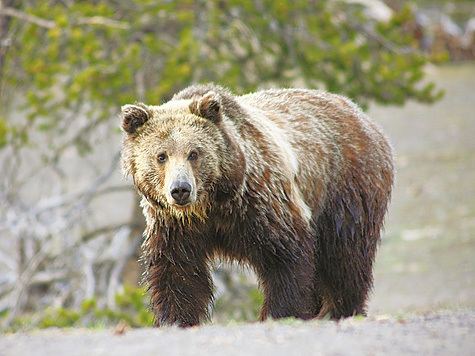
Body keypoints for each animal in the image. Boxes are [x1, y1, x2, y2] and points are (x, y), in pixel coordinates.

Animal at [121, 84, 396, 328]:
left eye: (194, 153)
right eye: (161, 156)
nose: (180, 189)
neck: (213, 205)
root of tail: (363, 116)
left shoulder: (262, 204)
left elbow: (286, 260)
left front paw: (279, 313)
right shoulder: (175, 226)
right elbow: (177, 272)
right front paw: (177, 319)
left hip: (345, 188)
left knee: (344, 256)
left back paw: (340, 309)